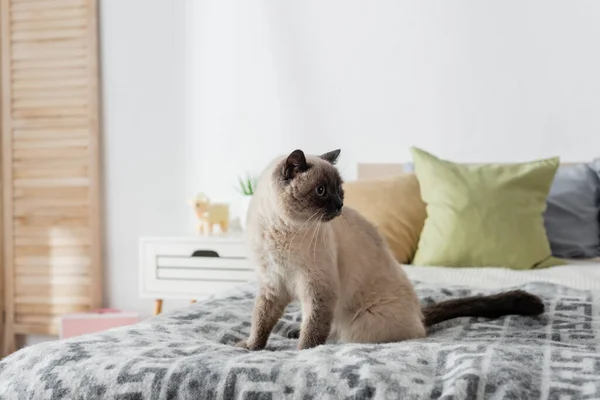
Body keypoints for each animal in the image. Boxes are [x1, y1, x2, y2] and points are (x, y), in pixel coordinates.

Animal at [237, 148, 548, 350]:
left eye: (339, 191)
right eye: (321, 192)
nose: (339, 206)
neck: (281, 232)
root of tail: (420, 316)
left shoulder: (318, 289)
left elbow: (313, 333)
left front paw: (302, 354)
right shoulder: (272, 286)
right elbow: (261, 322)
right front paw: (250, 347)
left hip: (360, 326)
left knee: (338, 333)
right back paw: (291, 330)